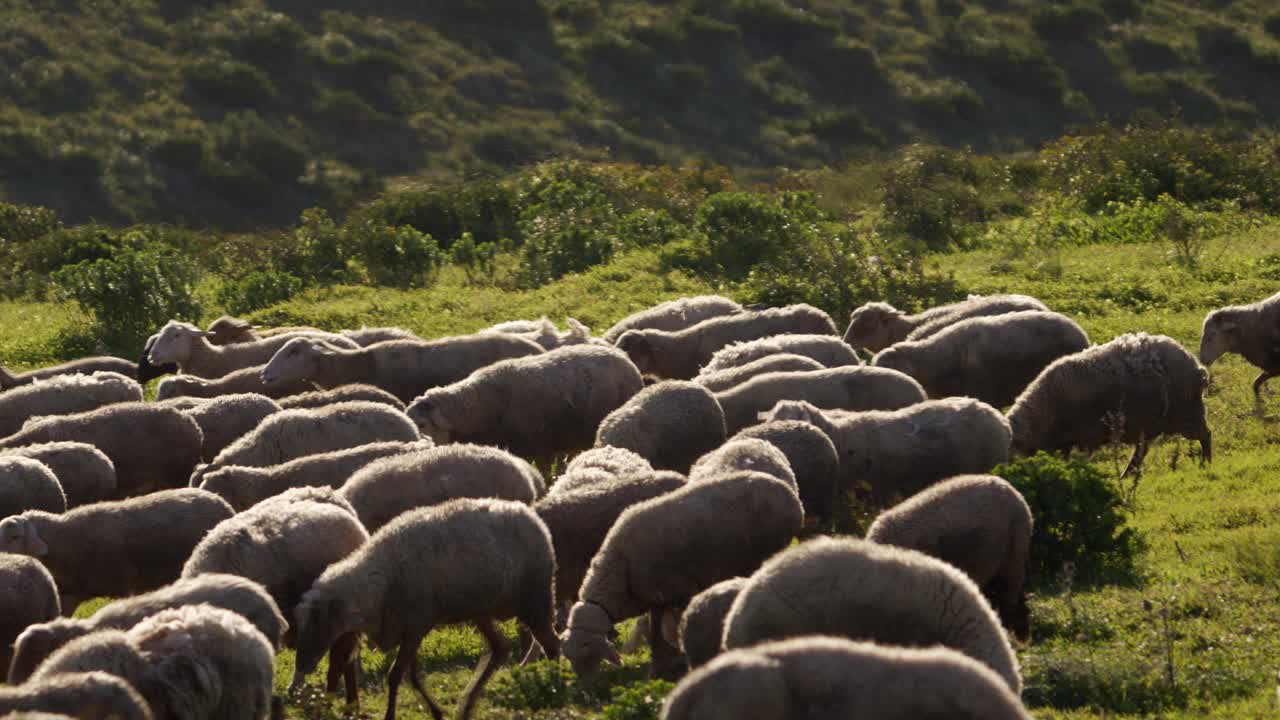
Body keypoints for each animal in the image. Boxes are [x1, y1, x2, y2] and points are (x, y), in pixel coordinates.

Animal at [290, 498, 560, 720]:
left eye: (318, 621)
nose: (301, 665)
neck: (381, 579)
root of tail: (533, 518)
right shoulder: (411, 628)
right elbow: (413, 677)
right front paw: (436, 711)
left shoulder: (416, 625)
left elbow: (396, 675)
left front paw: (390, 715)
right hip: (481, 610)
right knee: (500, 648)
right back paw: (466, 706)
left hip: (536, 600)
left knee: (552, 645)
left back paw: (556, 689)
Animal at [562, 470, 803, 681]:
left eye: (588, 651)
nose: (587, 688)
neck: (620, 569)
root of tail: (792, 499)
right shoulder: (656, 597)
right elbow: (656, 632)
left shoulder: (677, 590)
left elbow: (662, 633)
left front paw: (664, 665)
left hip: (771, 545)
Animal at [1007, 332, 1212, 476]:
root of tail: (1195, 365)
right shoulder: (1065, 441)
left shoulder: (1086, 435)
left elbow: (1083, 459)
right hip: (1152, 423)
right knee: (1141, 451)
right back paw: (1126, 475)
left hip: (1187, 413)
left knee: (1206, 435)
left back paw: (1206, 463)